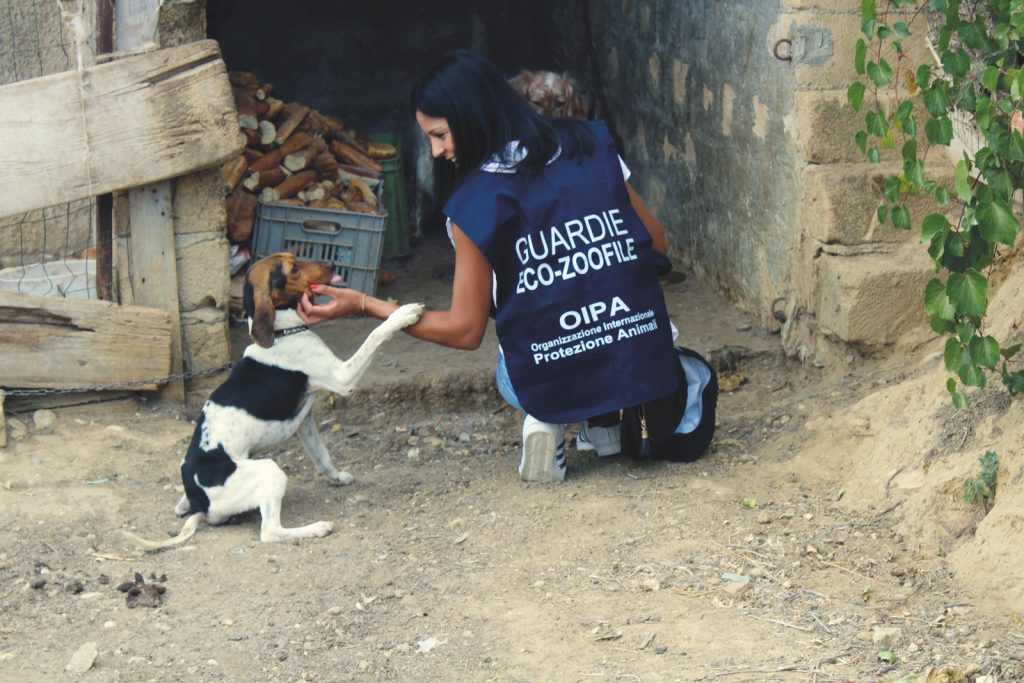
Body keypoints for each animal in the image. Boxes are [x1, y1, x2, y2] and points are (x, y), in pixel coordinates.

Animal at [124, 252, 423, 548]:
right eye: (293, 268)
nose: (331, 263)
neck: (281, 332)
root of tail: (200, 500)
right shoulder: (343, 377)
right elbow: (376, 334)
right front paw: (403, 314)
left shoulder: (305, 419)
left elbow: (322, 455)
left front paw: (337, 477)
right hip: (270, 470)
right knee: (270, 532)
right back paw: (317, 528)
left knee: (186, 507)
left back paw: (184, 504)